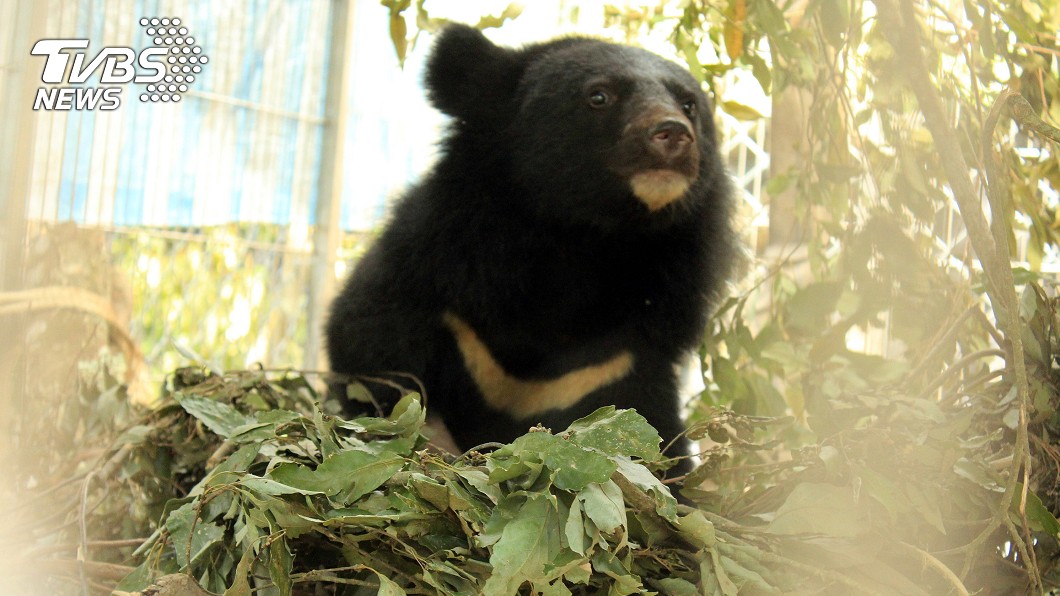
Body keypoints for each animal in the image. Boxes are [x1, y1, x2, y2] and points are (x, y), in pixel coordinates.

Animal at [325, 24, 735, 477]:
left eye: (688, 104)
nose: (673, 134)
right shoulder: (439, 260)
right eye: (599, 95)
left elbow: (651, 432)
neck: (583, 239)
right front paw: (430, 440)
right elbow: (368, 337)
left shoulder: (623, 356)